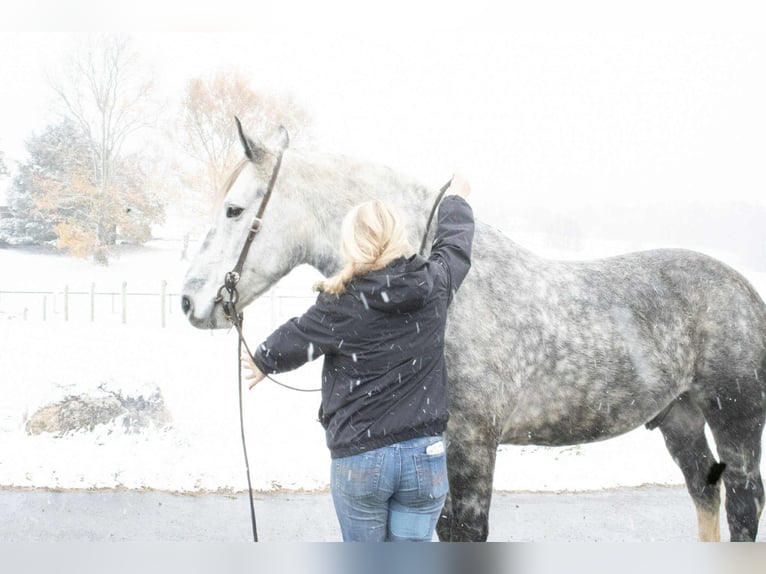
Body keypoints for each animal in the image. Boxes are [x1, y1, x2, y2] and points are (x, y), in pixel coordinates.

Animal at [181, 120, 766, 542]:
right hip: (679, 419)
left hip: (736, 420)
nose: (190, 300)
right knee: (705, 494)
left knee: (742, 502)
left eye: (234, 209)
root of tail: (745, 289)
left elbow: (465, 531)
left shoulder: (471, 444)